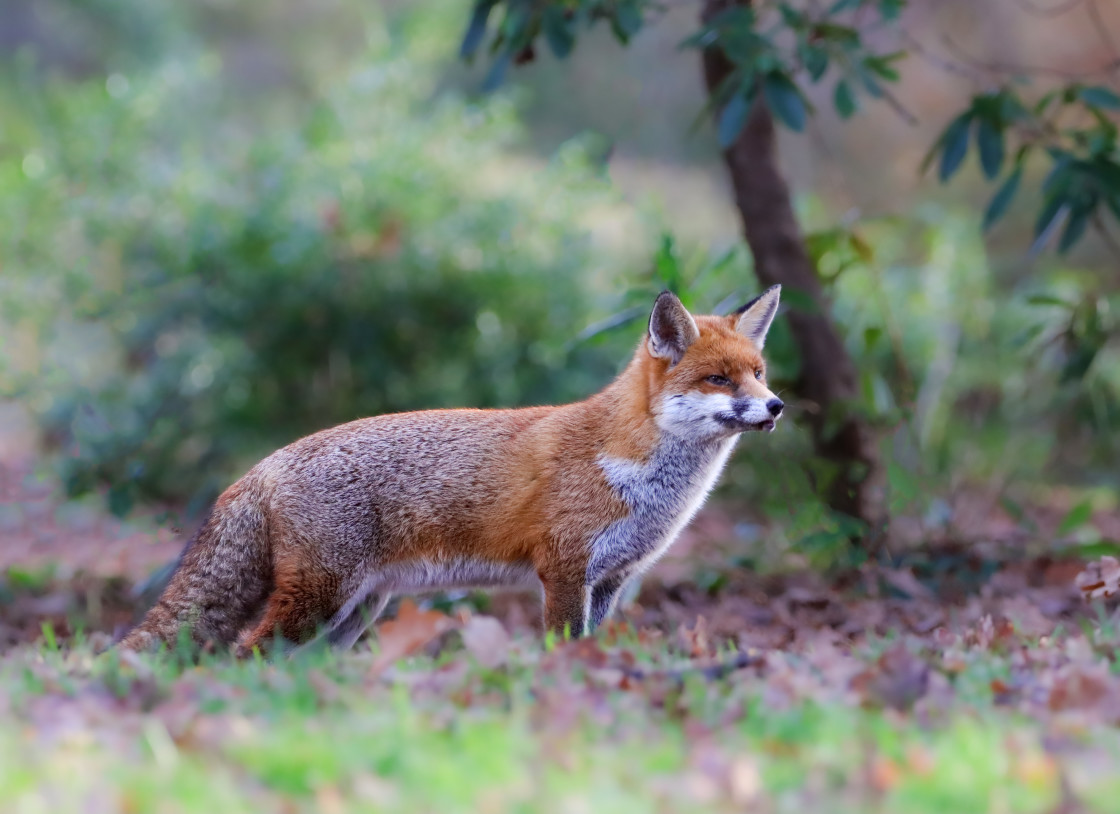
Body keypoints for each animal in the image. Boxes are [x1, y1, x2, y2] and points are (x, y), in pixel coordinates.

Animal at [118, 286, 784, 653]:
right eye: (718, 379)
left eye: (758, 373)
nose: (776, 406)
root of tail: (266, 463)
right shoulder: (564, 571)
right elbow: (560, 647)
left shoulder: (611, 580)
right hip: (321, 598)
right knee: (247, 653)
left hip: (356, 611)